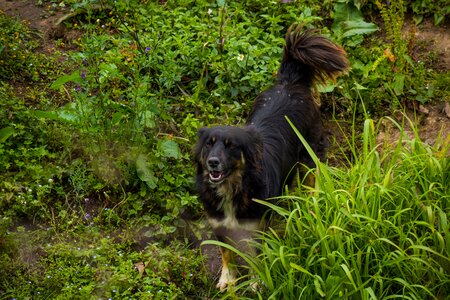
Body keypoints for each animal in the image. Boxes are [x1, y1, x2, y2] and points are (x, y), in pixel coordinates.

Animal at [193, 25, 348, 290]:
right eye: (208, 145)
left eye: (230, 146)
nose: (213, 162)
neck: (235, 187)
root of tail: (290, 81)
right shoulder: (219, 225)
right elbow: (226, 252)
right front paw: (228, 278)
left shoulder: (257, 227)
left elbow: (256, 257)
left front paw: (257, 281)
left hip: (311, 155)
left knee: (313, 182)